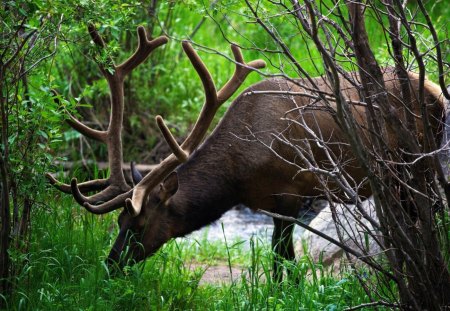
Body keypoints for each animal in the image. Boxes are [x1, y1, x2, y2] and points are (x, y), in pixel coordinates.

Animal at [47, 25, 448, 282]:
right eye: (118, 223)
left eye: (139, 225)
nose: (110, 266)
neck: (237, 177)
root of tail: (436, 91)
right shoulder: (269, 203)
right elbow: (280, 258)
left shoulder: (290, 192)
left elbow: (282, 259)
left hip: (420, 163)